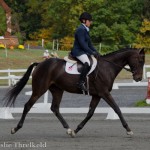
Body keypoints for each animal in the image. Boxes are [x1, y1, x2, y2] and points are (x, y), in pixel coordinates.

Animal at [3, 47, 145, 137]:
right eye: (140, 61)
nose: (138, 78)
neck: (107, 67)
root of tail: (39, 64)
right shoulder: (104, 93)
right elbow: (117, 109)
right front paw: (129, 130)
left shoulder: (97, 95)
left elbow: (90, 113)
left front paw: (76, 130)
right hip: (39, 89)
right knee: (28, 105)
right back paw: (15, 128)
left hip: (57, 90)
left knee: (55, 108)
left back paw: (69, 129)